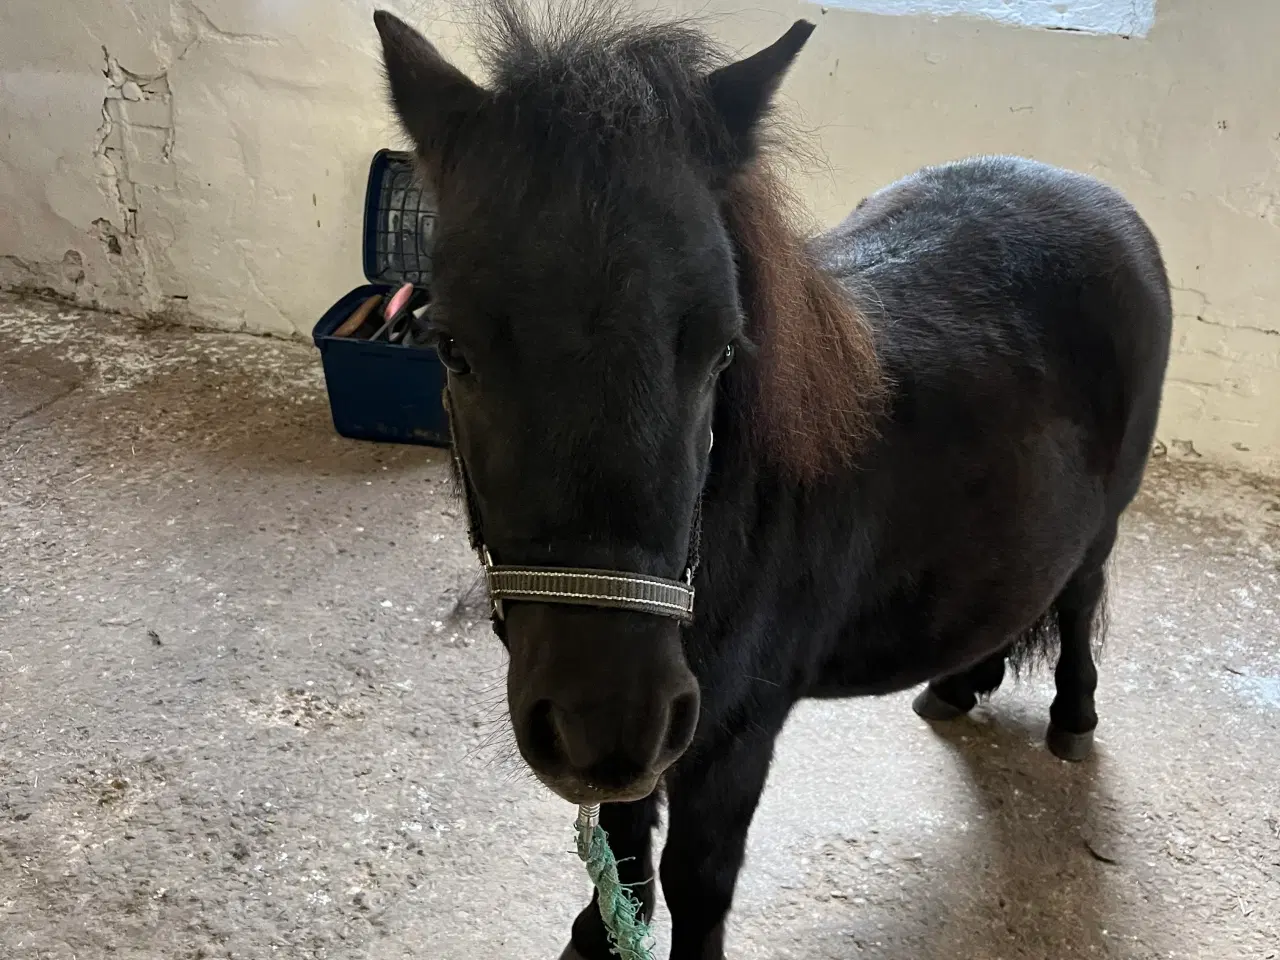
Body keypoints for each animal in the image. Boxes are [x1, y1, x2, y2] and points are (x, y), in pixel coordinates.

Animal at [372, 3, 1173, 957]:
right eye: (450, 347)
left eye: (722, 347)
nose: (608, 717)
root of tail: (1092, 194)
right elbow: (625, 852)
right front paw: (596, 933)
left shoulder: (734, 733)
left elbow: (697, 880)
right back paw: (958, 682)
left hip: (1105, 527)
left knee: (1079, 601)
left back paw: (1072, 720)